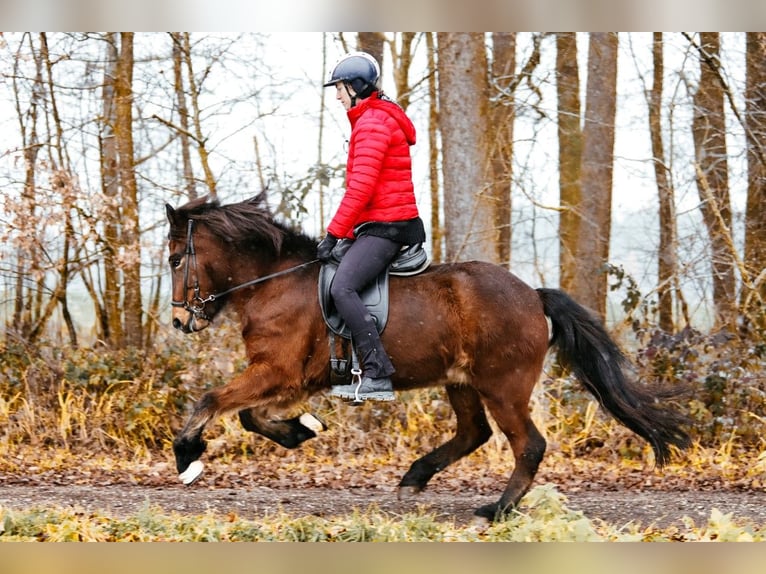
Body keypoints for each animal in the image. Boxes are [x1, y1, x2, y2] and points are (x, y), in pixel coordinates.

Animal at [165, 193, 691, 522]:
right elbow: (252, 416)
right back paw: (415, 477)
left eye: (173, 259)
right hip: (461, 382)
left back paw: (497, 510)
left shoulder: (278, 371)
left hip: (503, 386)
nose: (179, 321)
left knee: (528, 445)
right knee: (474, 433)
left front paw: (188, 457)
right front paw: (302, 429)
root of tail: (532, 295)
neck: (274, 282)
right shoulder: (289, 379)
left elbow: (214, 400)